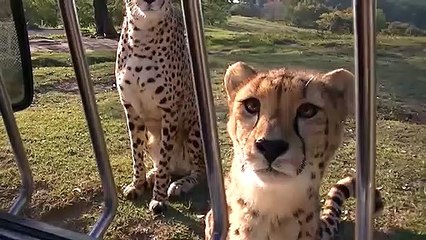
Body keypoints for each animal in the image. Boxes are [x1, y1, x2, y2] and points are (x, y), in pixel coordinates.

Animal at [115, 0, 205, 214]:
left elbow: (165, 158)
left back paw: (180, 184)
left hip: (195, 131)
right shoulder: (131, 110)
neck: (143, 34)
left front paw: (159, 198)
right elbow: (136, 153)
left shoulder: (169, 111)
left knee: (198, 170)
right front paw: (137, 184)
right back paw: (151, 176)